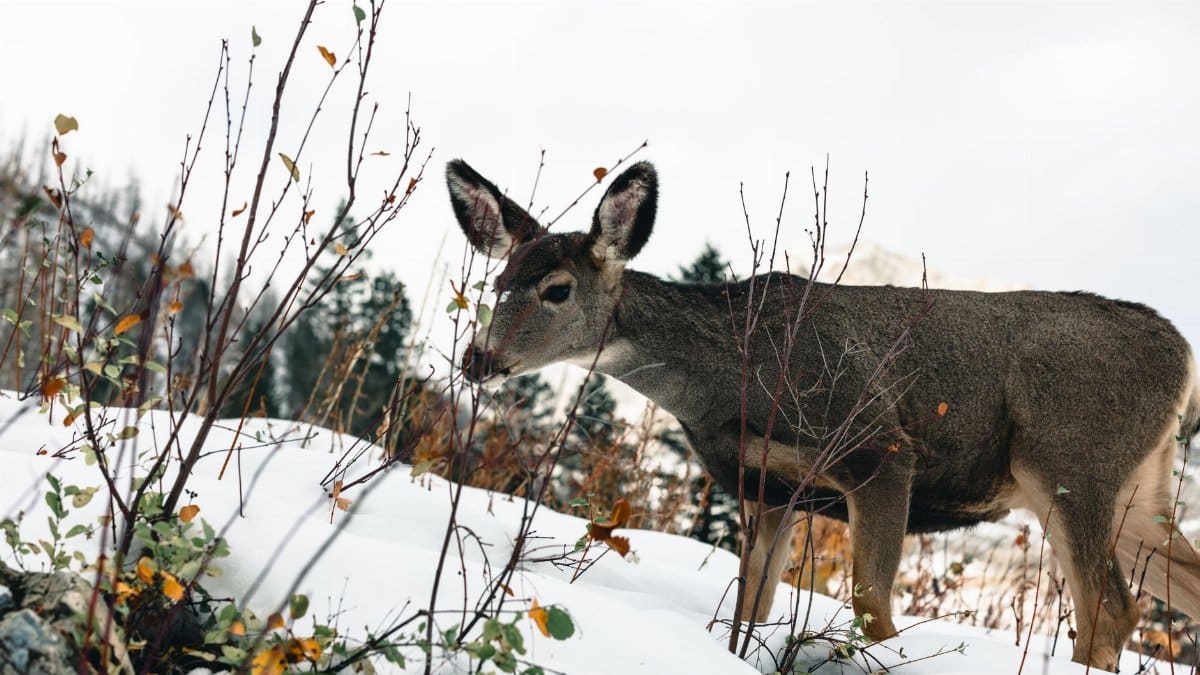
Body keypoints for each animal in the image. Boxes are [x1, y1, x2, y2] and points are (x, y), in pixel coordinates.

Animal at [444, 158, 1200, 670]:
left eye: (556, 289)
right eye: (498, 281)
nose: (476, 359)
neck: (727, 380)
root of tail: (1182, 351)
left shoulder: (880, 448)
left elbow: (873, 610)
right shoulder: (767, 486)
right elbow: (751, 607)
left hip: (1069, 458)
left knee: (1111, 609)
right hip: (1138, 493)